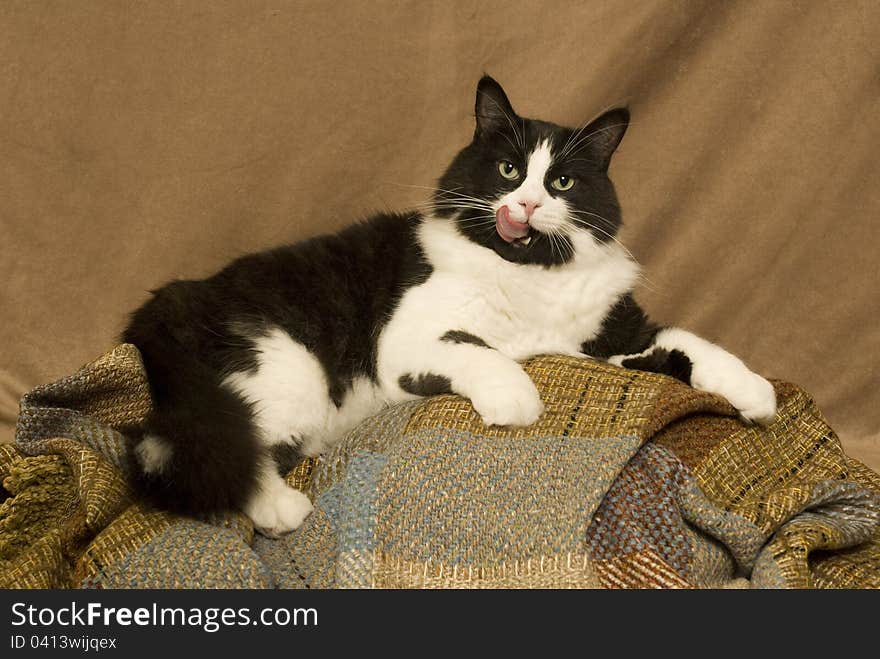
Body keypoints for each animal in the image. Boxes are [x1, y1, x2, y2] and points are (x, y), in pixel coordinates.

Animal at [125, 77, 776, 540]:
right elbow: (482, 350)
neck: (528, 272)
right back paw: (282, 506)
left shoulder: (617, 334)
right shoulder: (406, 341)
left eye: (562, 183)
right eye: (509, 170)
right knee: (210, 450)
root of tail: (168, 300)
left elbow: (694, 342)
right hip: (283, 370)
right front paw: (516, 400)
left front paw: (756, 393)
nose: (526, 204)